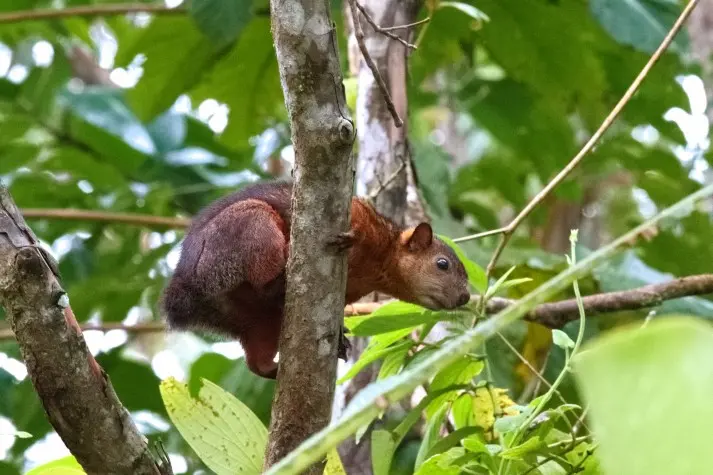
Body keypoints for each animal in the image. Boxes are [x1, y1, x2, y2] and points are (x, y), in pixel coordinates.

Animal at [160, 180, 471, 379]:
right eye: (442, 264)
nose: (465, 297)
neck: (379, 261)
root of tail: (184, 287)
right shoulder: (357, 214)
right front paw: (349, 238)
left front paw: (342, 336)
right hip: (249, 226)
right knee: (264, 282)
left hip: (258, 321)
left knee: (257, 361)